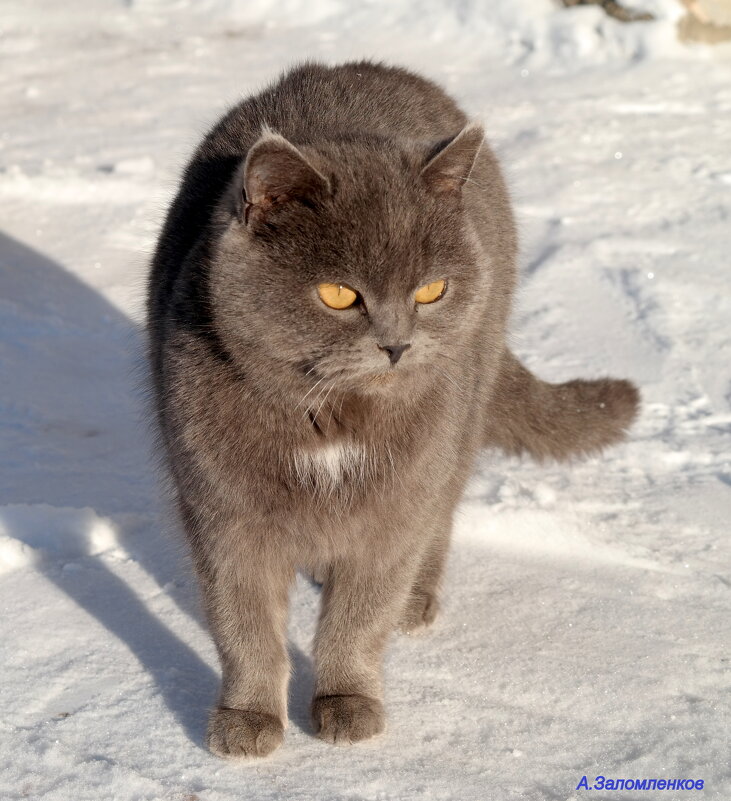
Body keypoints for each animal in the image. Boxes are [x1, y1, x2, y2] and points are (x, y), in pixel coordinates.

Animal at [147, 61, 640, 756]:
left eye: (431, 290)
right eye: (337, 294)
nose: (397, 343)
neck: (332, 422)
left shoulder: (398, 499)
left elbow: (359, 616)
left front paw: (347, 703)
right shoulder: (223, 510)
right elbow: (244, 624)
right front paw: (247, 721)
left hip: (459, 414)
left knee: (441, 511)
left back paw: (415, 598)